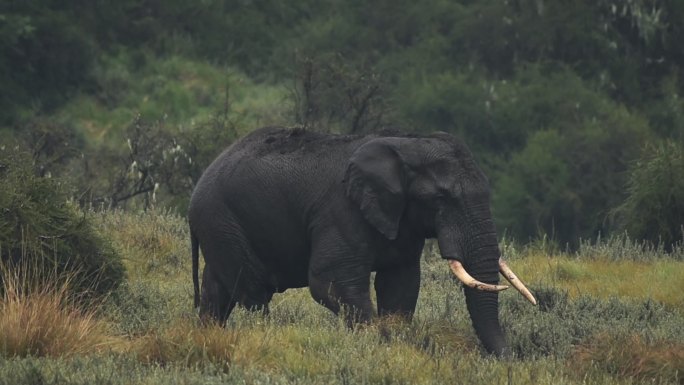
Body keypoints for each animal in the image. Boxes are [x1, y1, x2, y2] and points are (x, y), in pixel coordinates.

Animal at [188, 126, 536, 354]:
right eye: (441, 199)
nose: (509, 359)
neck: (405, 145)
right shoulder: (340, 210)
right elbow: (330, 281)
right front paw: (378, 343)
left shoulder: (402, 219)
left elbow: (400, 284)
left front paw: (394, 342)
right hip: (223, 220)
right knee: (253, 292)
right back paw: (265, 335)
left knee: (217, 292)